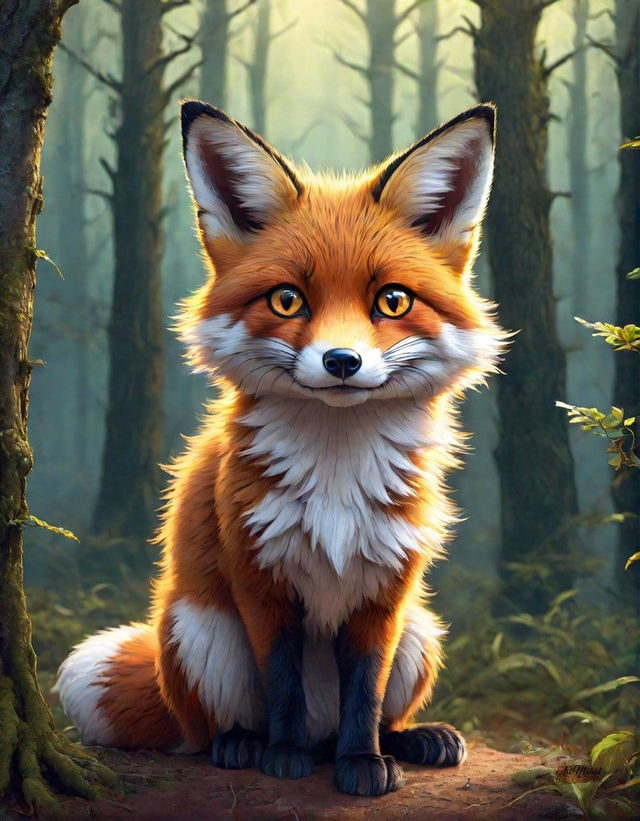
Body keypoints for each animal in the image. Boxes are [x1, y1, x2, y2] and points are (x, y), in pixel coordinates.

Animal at [57, 100, 505, 797]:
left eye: (392, 301)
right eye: (288, 299)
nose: (342, 361)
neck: (337, 473)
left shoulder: (387, 589)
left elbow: (365, 692)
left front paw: (362, 761)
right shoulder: (258, 575)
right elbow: (283, 683)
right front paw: (285, 756)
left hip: (421, 632)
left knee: (375, 714)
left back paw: (407, 741)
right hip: (201, 633)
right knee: (207, 730)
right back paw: (248, 744)